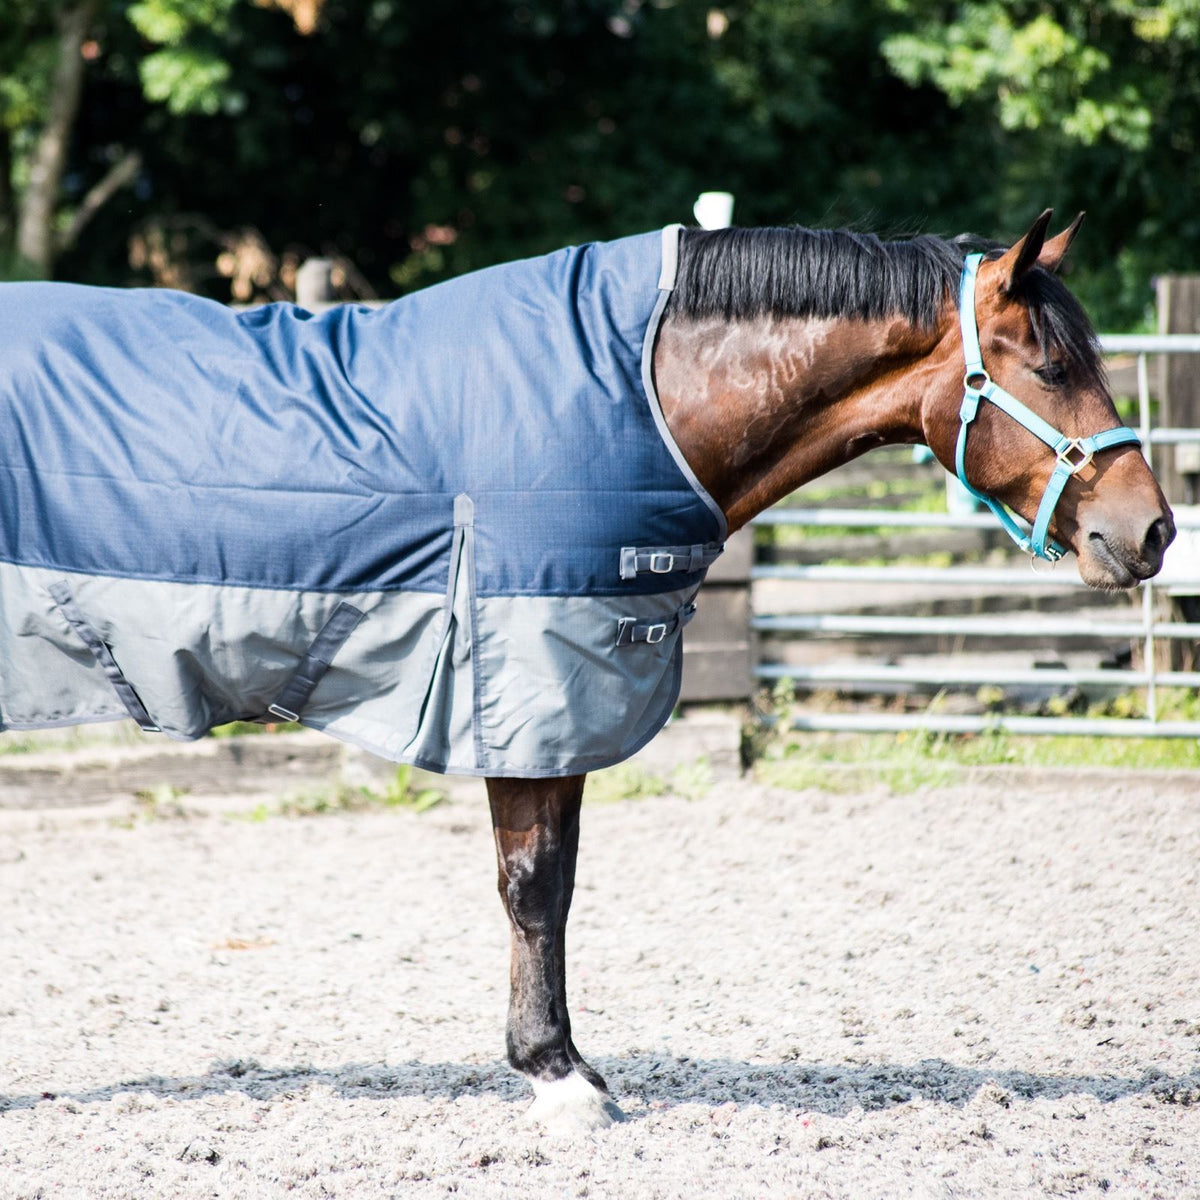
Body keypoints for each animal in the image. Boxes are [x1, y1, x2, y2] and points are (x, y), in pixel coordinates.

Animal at [0, 209, 1173, 1133]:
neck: (640, 394)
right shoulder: (529, 690)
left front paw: (568, 1065)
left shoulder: (560, 704)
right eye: (1052, 366)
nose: (1150, 531)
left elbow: (557, 887)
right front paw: (556, 1079)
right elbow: (531, 886)